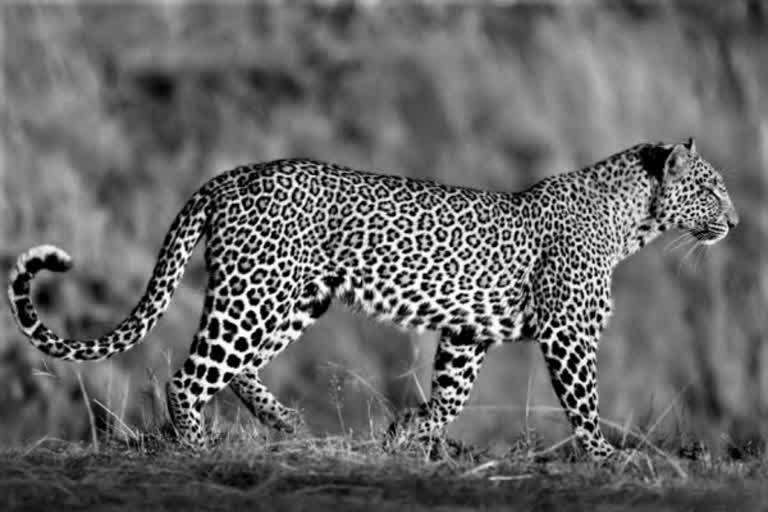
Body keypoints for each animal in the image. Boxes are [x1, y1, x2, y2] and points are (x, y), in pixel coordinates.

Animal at [7, 137, 736, 460]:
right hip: (259, 290)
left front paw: (405, 432)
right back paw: (196, 444)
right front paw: (607, 459)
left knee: (233, 367)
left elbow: (450, 397)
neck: (633, 223)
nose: (733, 220)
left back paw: (287, 423)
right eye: (710, 188)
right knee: (190, 375)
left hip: (293, 297)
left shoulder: (467, 333)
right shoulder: (567, 334)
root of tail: (231, 174)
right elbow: (584, 404)